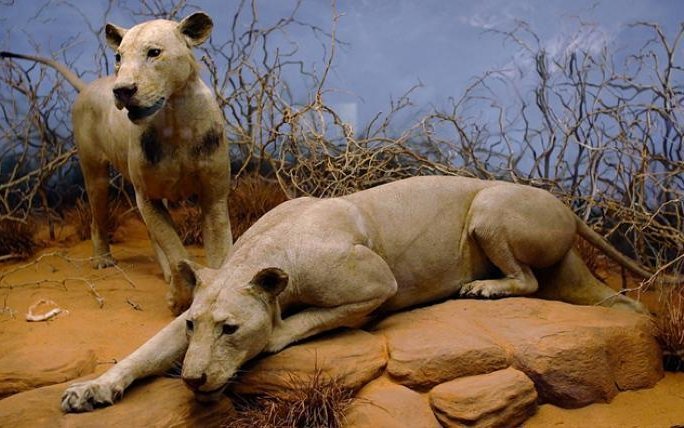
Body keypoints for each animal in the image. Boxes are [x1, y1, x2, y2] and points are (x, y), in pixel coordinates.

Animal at [1, 12, 232, 315]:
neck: (174, 121)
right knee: (97, 220)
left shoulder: (214, 197)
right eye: (119, 57)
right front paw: (179, 296)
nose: (122, 90)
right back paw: (103, 260)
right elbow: (175, 249)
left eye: (154, 52)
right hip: (96, 175)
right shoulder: (146, 196)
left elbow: (219, 253)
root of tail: (89, 86)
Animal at [61, 176, 679, 412]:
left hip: (489, 208)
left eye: (232, 329)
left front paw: (274, 333)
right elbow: (142, 353)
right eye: (194, 326)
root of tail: (569, 208)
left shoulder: (377, 282)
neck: (264, 253)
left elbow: (303, 321)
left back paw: (481, 286)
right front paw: (91, 390)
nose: (192, 380)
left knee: (525, 280)